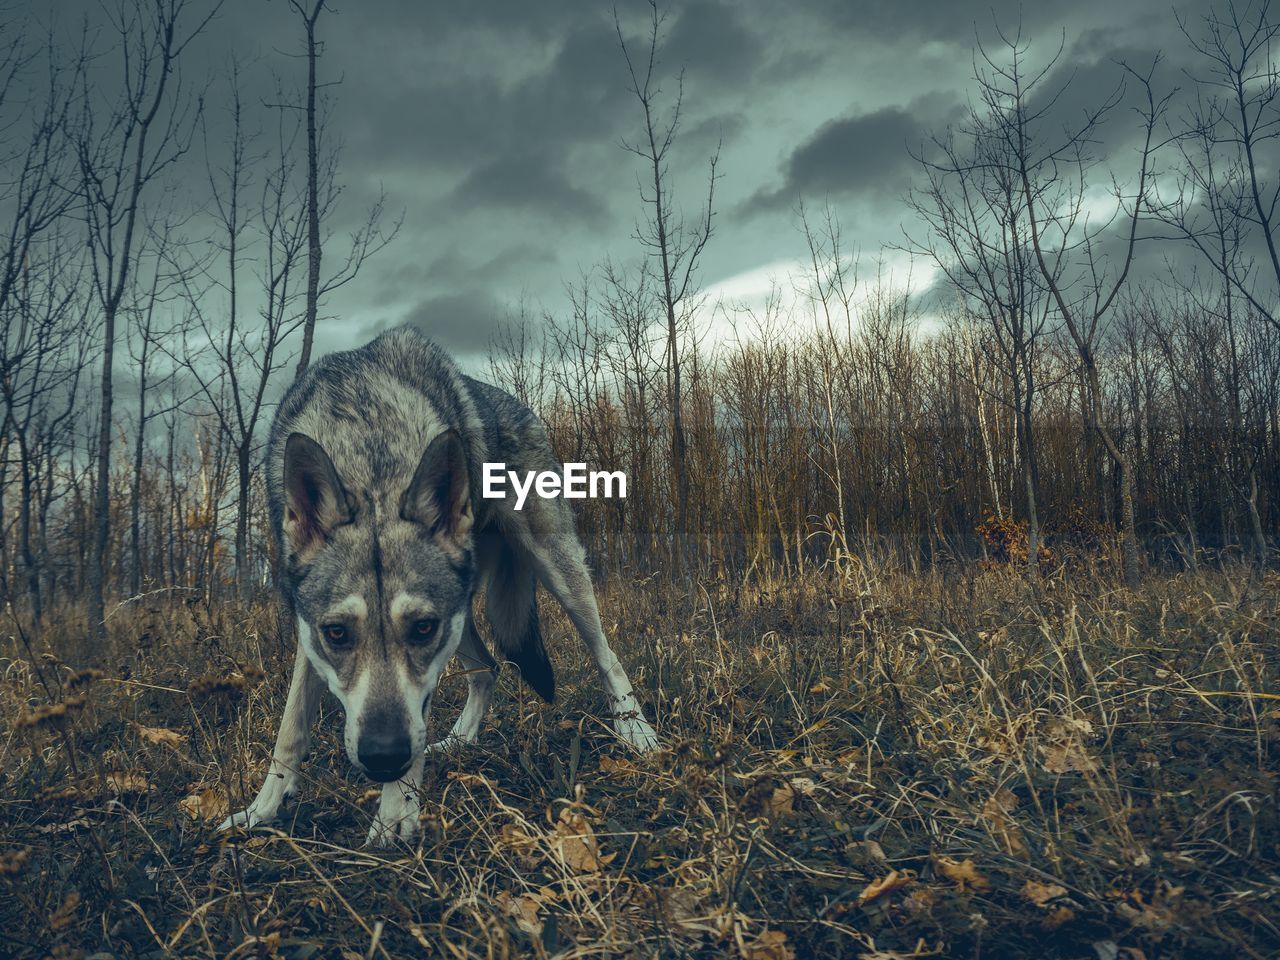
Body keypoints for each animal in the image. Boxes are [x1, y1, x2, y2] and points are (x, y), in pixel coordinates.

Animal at [220, 327, 655, 844]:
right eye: (337, 634)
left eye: (421, 629)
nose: (382, 757)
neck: (369, 451)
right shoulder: (309, 634)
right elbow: (289, 731)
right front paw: (260, 810)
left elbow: (413, 724)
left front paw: (394, 813)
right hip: (467, 613)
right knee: (488, 668)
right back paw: (460, 740)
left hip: (558, 573)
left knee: (605, 655)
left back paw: (637, 734)